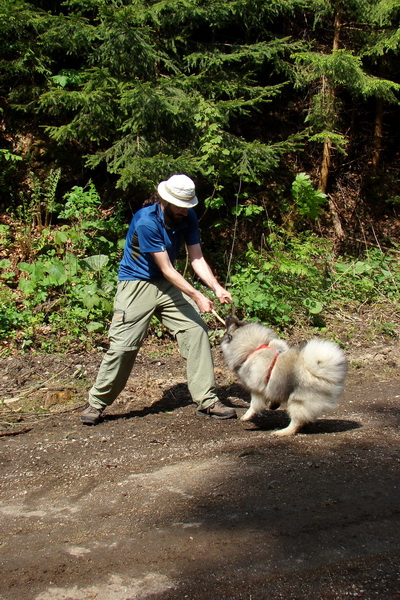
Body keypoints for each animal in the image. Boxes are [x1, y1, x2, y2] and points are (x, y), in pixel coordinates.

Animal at [220, 318, 348, 436]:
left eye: (232, 324)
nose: (227, 316)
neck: (255, 349)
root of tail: (322, 372)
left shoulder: (257, 390)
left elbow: (254, 405)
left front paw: (246, 416)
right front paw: (273, 405)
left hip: (298, 401)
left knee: (296, 421)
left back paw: (282, 432)